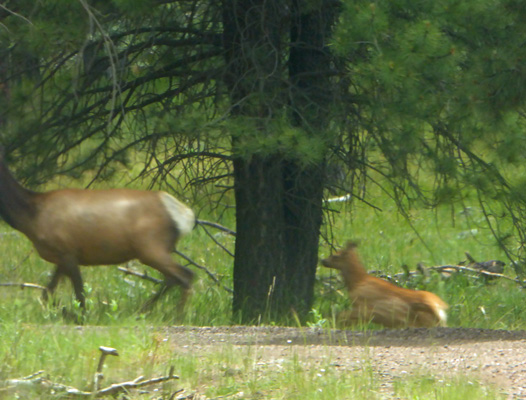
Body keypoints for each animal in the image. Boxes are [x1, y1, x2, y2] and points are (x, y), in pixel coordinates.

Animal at [0, 152, 196, 310]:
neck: (31, 218)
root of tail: (184, 215)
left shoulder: (68, 252)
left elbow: (79, 295)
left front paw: (79, 317)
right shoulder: (61, 257)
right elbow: (47, 293)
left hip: (150, 246)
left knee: (185, 275)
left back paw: (177, 316)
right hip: (157, 249)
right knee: (173, 278)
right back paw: (145, 310)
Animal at [322, 241, 450, 328]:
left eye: (335, 255)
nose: (323, 260)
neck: (357, 282)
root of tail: (439, 307)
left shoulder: (362, 307)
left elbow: (341, 315)